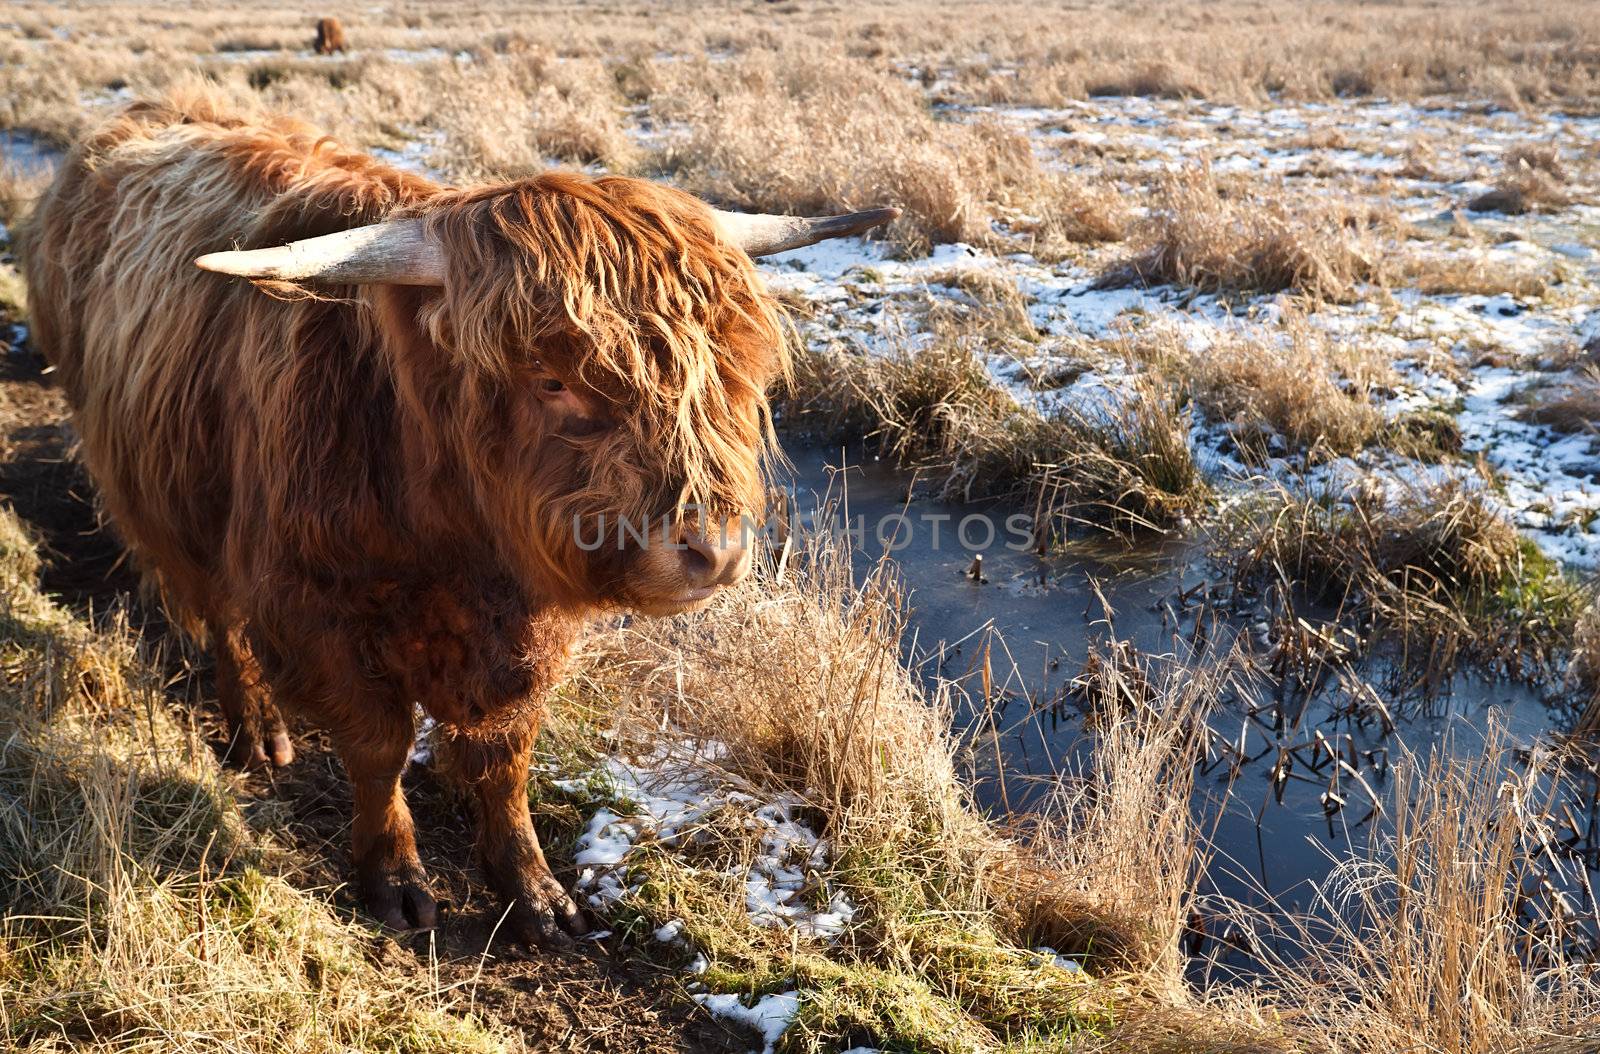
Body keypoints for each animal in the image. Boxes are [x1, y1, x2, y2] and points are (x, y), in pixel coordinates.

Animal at [21, 86, 902, 946]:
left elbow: (505, 756)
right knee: (220, 618)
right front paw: (394, 877)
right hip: (168, 501)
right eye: (551, 379)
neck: (453, 540)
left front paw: (535, 889)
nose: (711, 550)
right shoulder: (314, 609)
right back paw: (258, 732)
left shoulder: (527, 632)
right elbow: (376, 748)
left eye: (726, 363)